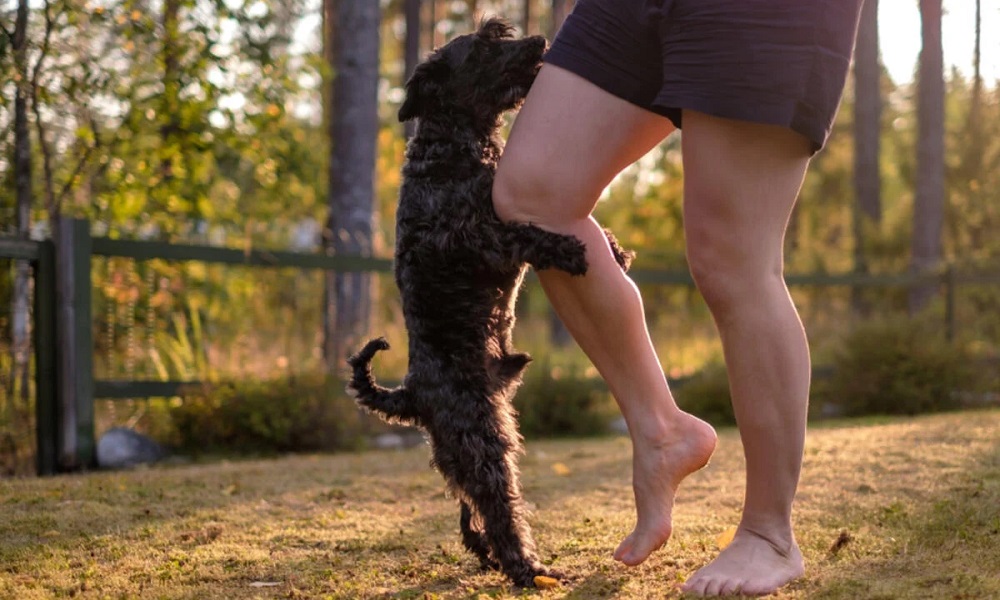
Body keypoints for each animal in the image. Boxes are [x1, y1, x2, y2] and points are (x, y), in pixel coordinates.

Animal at [348, 17, 632, 584]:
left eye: (499, 32)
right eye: (482, 47)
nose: (538, 42)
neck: (451, 149)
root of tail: (410, 394)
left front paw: (613, 248)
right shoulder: (475, 237)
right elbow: (525, 233)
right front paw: (572, 250)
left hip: (460, 452)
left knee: (469, 511)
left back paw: (489, 556)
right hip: (482, 441)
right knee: (499, 507)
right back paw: (526, 568)